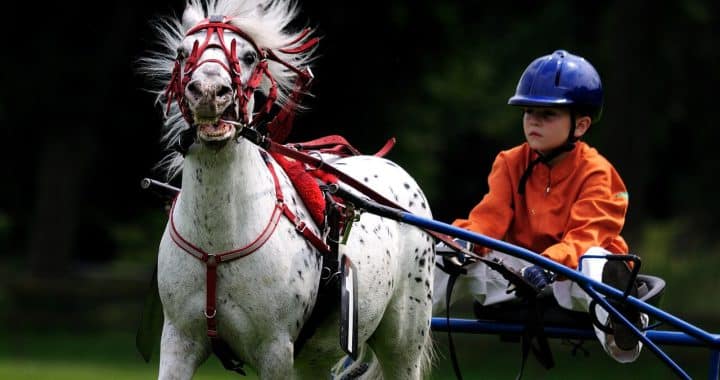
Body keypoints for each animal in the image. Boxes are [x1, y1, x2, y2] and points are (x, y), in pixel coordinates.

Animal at [139, 1, 436, 378]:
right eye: (181, 53)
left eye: (249, 56)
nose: (208, 91)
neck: (216, 244)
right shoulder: (179, 340)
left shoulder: (275, 349)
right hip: (315, 359)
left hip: (403, 342)